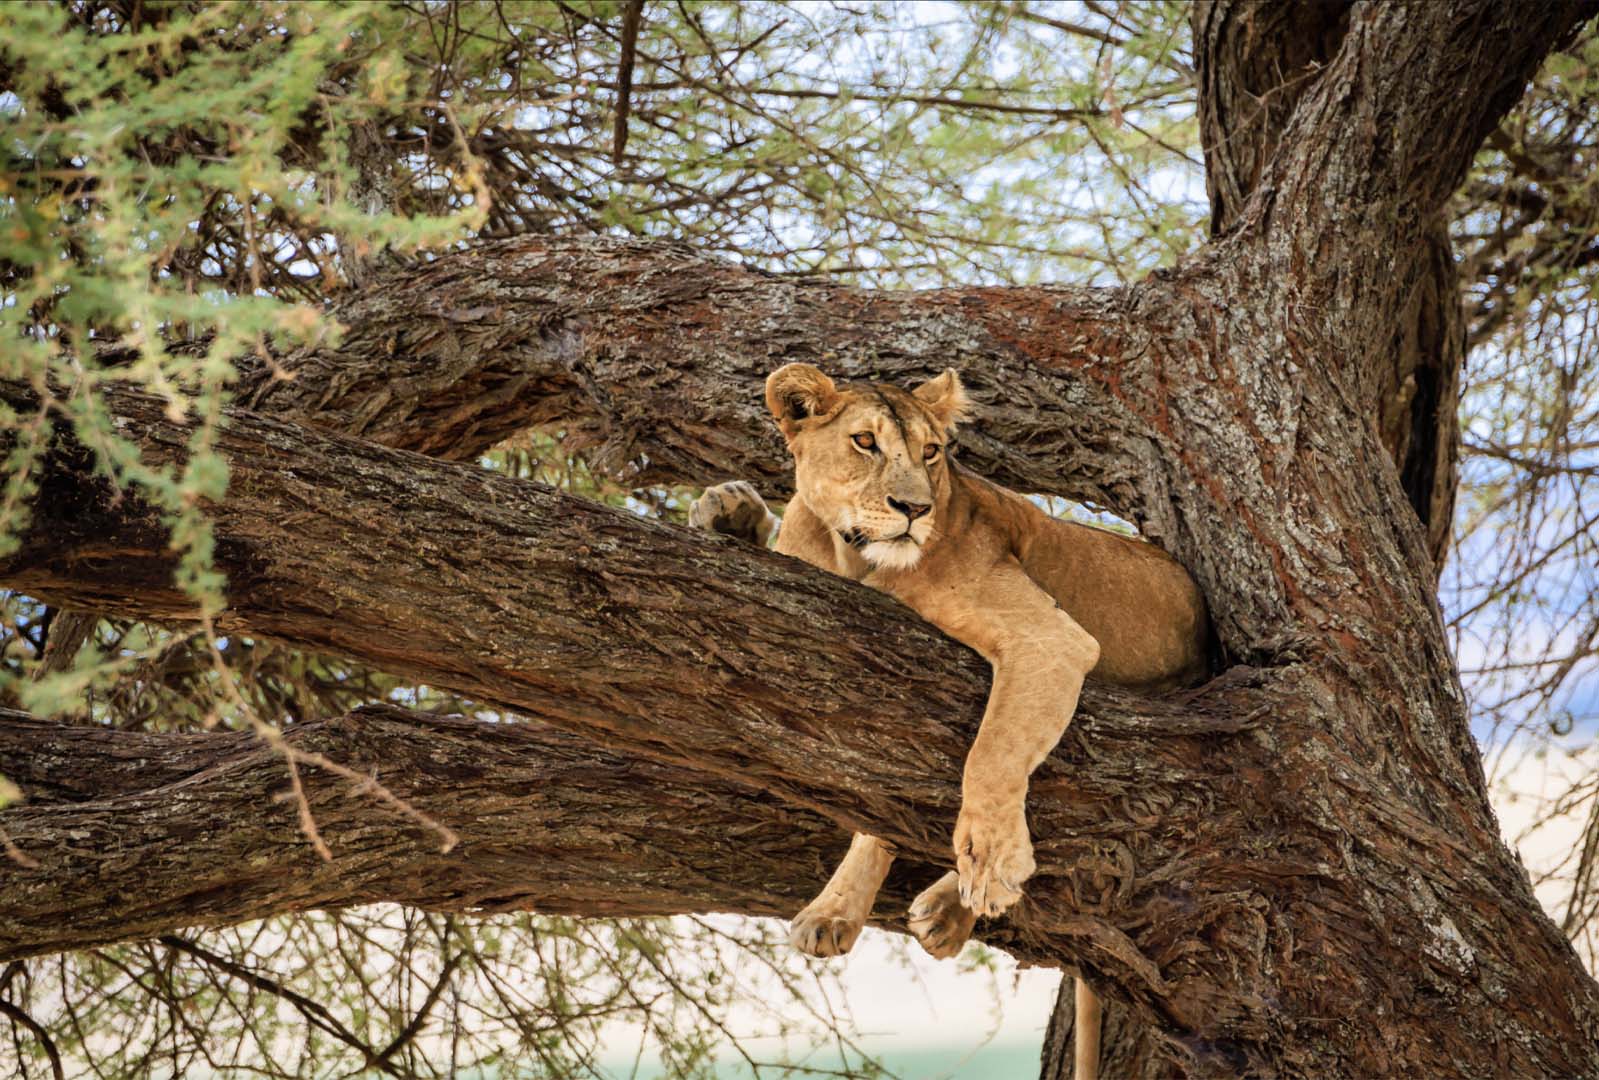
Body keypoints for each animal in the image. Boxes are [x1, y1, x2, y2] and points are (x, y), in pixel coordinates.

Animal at [690, 363, 1209, 1080]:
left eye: (931, 452)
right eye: (864, 442)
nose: (914, 510)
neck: (855, 558)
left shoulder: (1049, 639)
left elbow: (989, 756)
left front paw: (988, 863)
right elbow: (873, 811)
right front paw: (834, 909)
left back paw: (947, 906)